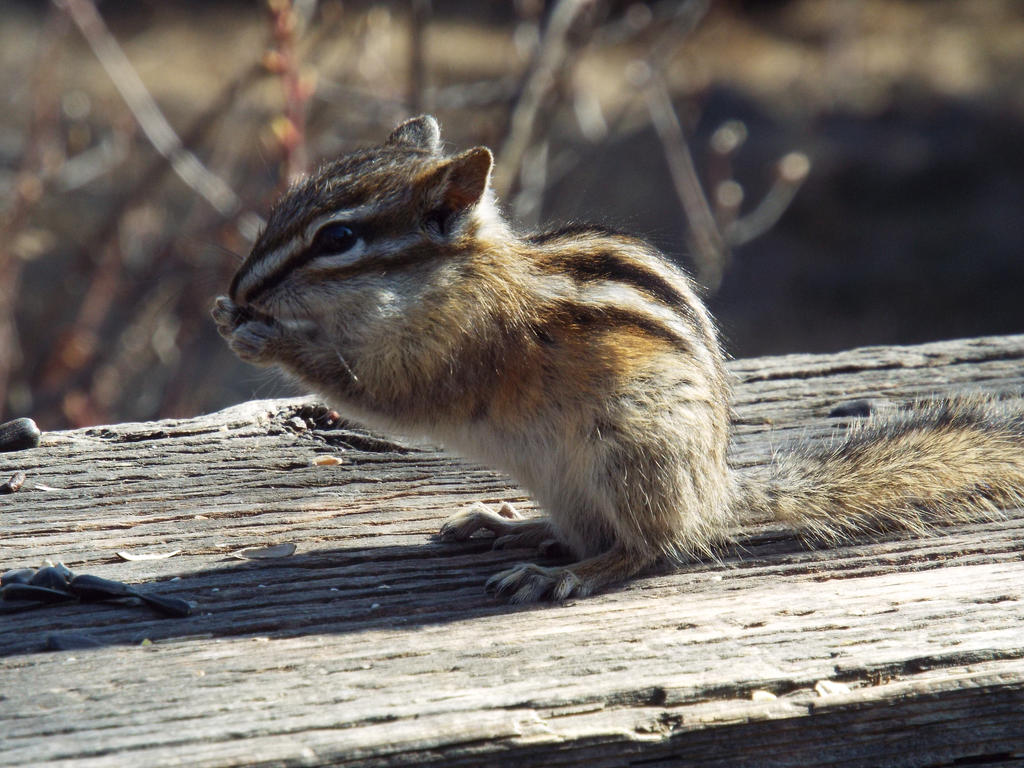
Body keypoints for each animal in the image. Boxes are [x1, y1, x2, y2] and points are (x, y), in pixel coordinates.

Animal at [213, 115, 1024, 603]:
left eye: (338, 239)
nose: (239, 290)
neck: (455, 276)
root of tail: (713, 494)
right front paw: (231, 316)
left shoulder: (454, 351)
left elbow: (377, 392)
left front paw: (265, 338)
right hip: (570, 479)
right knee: (588, 529)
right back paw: (508, 526)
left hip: (632, 454)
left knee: (650, 547)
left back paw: (567, 574)